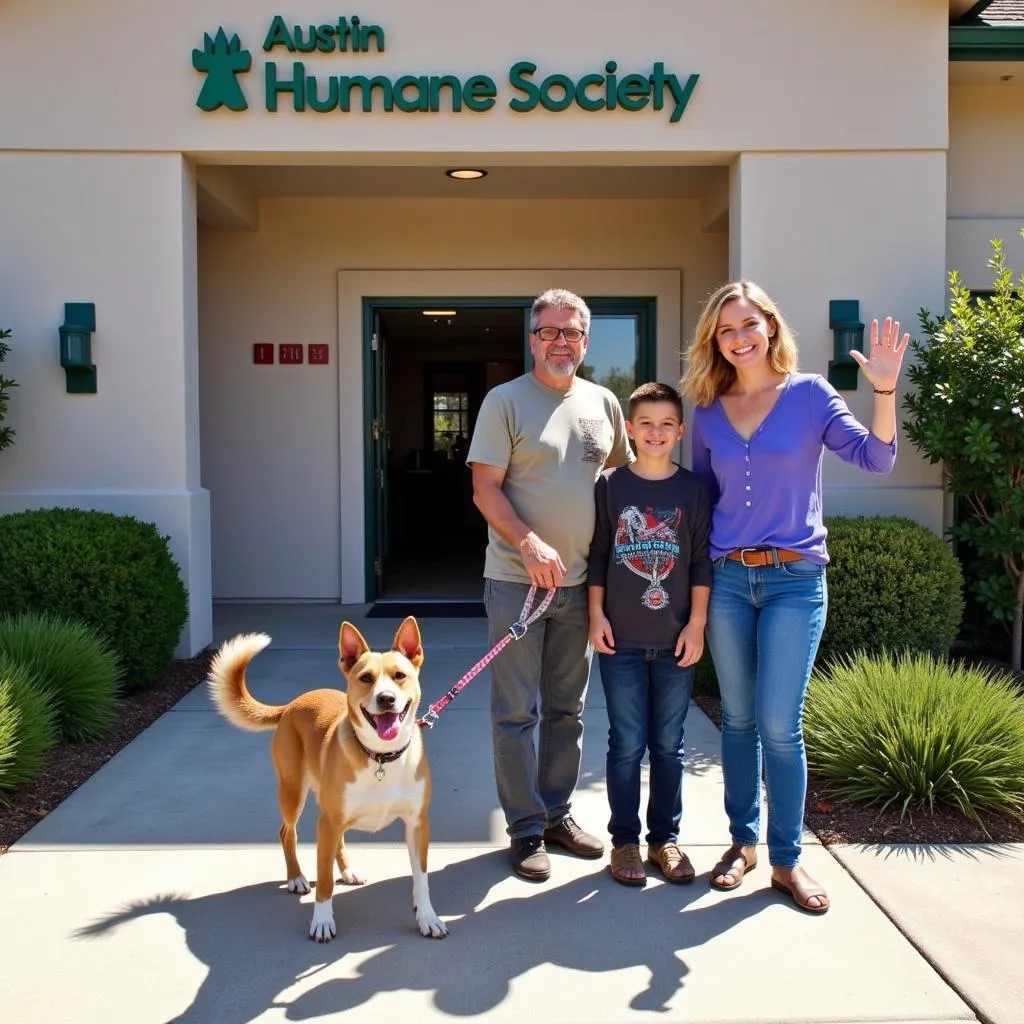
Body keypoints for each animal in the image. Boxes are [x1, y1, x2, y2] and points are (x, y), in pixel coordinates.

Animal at [205, 614, 446, 942]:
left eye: (399, 675)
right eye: (366, 678)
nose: (386, 698)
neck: (381, 757)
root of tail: (292, 704)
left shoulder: (418, 823)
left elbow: (421, 878)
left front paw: (427, 917)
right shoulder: (327, 823)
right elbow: (324, 880)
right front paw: (321, 921)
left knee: (337, 840)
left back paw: (347, 870)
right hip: (293, 793)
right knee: (287, 833)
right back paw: (296, 877)